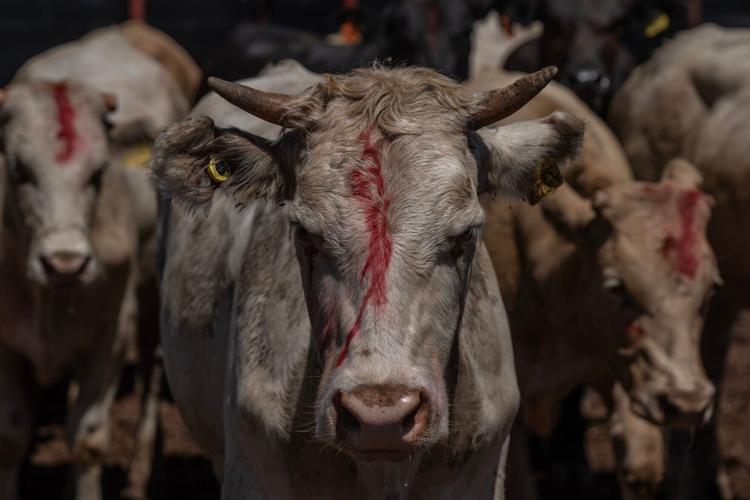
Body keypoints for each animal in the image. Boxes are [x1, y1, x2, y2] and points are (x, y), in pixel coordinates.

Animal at [0, 25, 192, 499]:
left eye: (100, 170)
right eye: (18, 169)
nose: (65, 264)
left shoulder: (111, 333)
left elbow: (87, 438)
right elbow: (11, 436)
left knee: (149, 376)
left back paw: (145, 472)